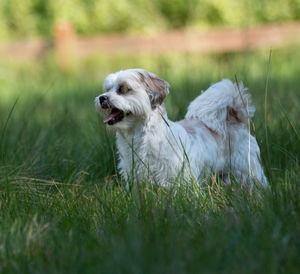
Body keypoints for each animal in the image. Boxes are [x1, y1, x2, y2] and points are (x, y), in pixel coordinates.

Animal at [94, 69, 268, 187]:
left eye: (123, 89)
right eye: (107, 89)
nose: (102, 98)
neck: (139, 136)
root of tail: (234, 120)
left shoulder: (177, 176)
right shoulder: (136, 177)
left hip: (247, 169)